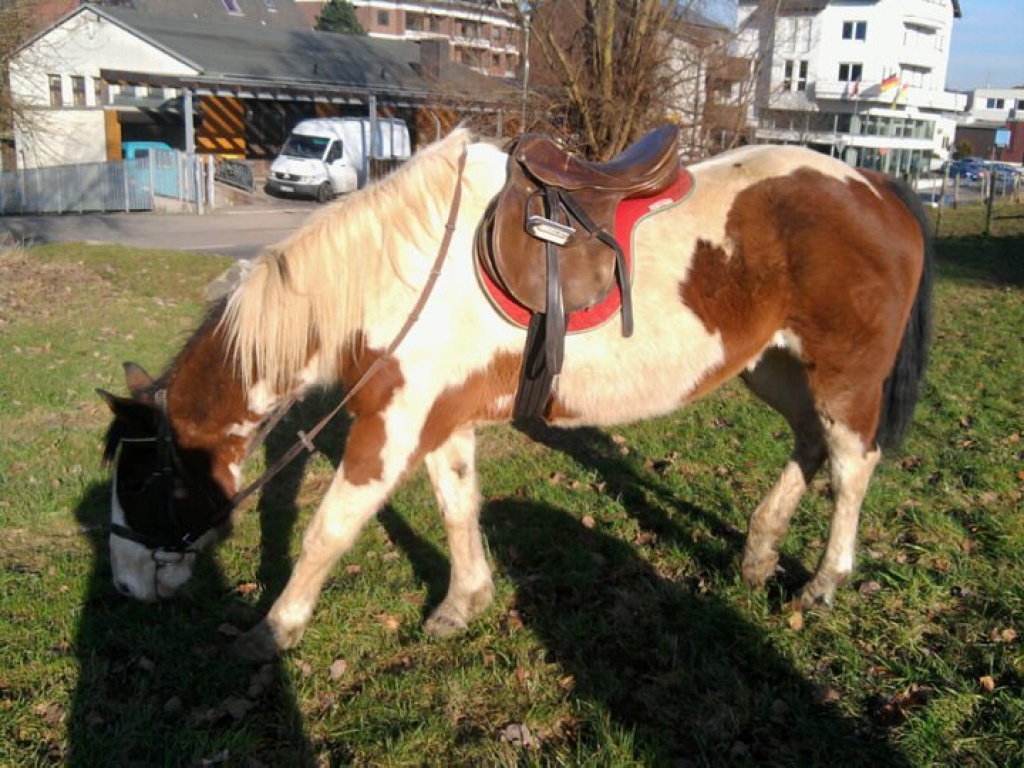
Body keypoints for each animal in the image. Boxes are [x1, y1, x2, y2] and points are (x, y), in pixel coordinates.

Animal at [99, 127, 933, 661]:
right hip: (775, 365)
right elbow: (458, 506)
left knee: (852, 467)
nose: (126, 589)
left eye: (137, 484)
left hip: (844, 374)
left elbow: (330, 530)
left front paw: (273, 630)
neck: (386, 274)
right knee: (809, 445)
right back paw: (758, 554)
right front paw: (462, 603)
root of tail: (877, 184)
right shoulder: (438, 421)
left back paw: (823, 585)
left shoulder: (390, 425)